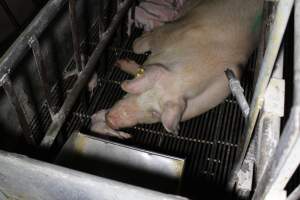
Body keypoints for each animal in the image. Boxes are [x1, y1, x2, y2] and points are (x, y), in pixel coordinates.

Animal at [91, 0, 262, 138]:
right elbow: (138, 47)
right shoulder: (170, 31)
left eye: (154, 113)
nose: (111, 120)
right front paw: (122, 61)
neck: (185, 75)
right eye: (141, 90)